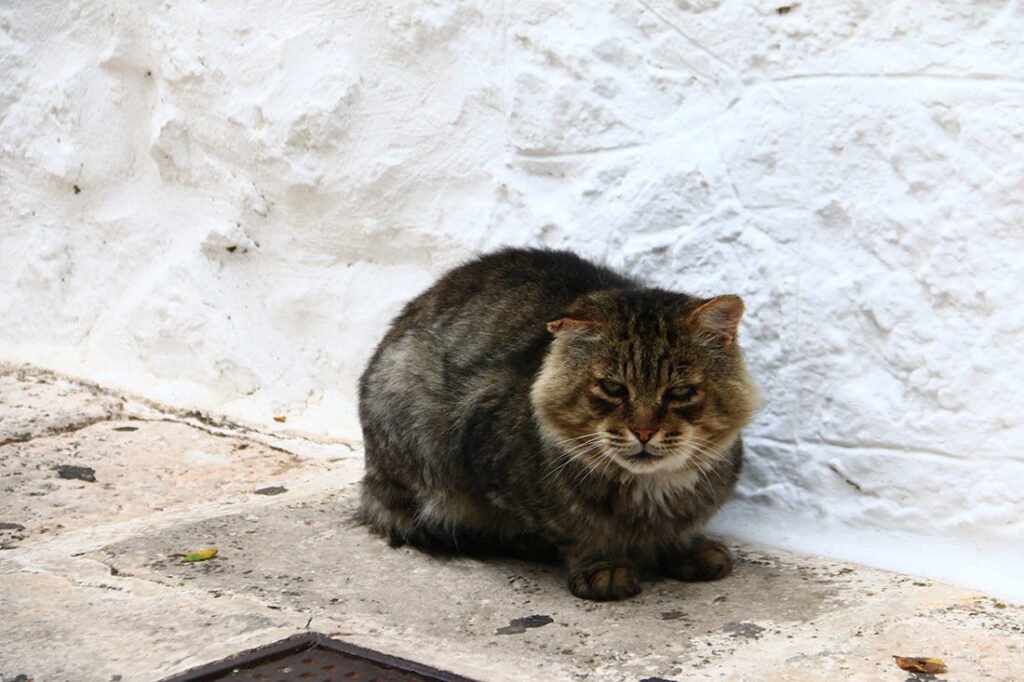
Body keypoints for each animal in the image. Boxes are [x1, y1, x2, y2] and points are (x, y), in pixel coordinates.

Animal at [356, 246, 757, 598]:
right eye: (613, 388)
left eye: (680, 391)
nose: (644, 431)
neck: (649, 494)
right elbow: (576, 533)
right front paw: (602, 568)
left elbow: (680, 531)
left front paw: (684, 549)